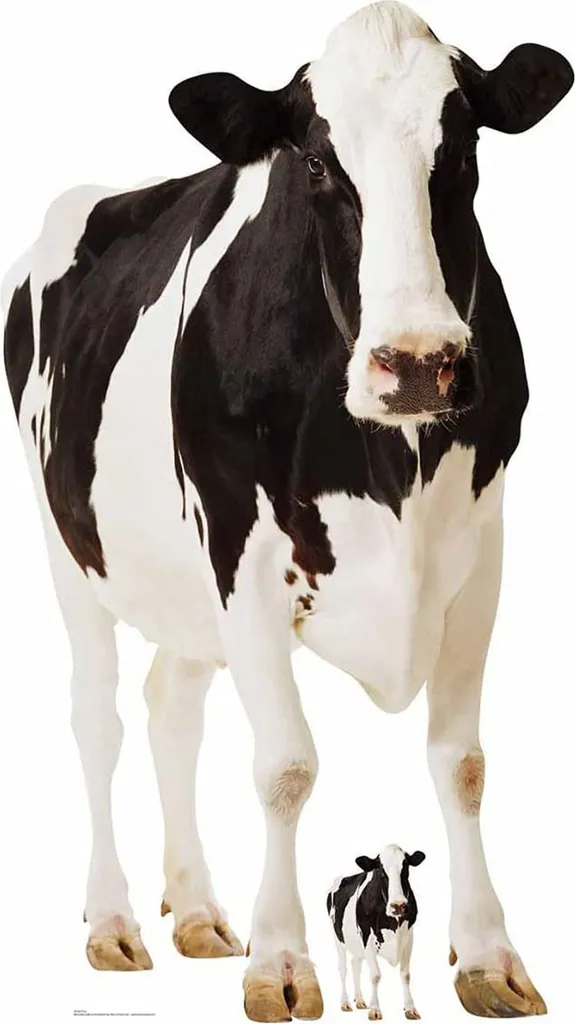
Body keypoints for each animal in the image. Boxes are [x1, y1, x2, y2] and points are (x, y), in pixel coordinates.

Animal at [327, 846, 425, 1021]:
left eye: (406, 868)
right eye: (381, 871)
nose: (398, 905)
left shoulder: (409, 936)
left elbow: (405, 974)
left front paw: (410, 1008)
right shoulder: (367, 936)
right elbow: (375, 975)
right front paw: (375, 1009)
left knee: (355, 965)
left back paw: (360, 1000)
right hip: (338, 939)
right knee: (343, 969)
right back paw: (345, 1002)